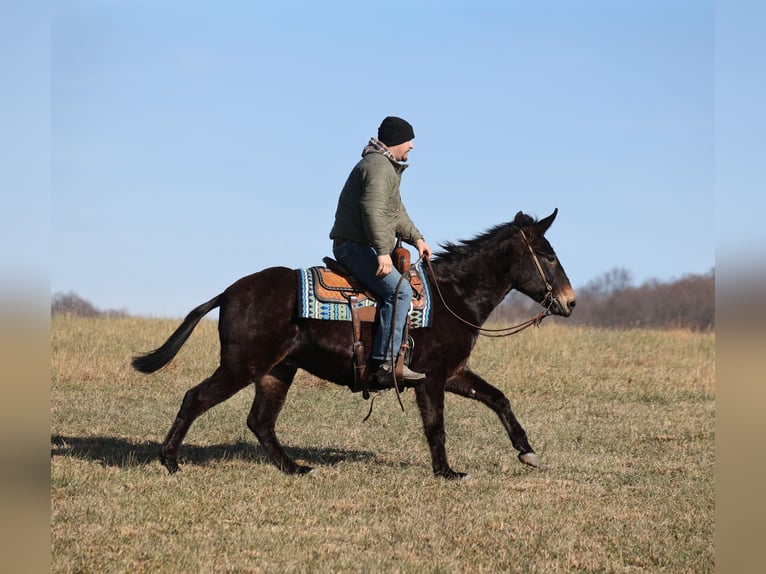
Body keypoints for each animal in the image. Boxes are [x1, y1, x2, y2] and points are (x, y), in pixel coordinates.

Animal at [132, 209, 576, 479]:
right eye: (548, 255)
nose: (570, 302)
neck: (453, 295)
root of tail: (228, 292)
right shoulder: (431, 378)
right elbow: (436, 426)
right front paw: (447, 473)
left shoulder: (454, 373)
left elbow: (498, 398)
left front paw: (526, 451)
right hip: (242, 366)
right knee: (196, 398)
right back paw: (169, 461)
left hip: (277, 371)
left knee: (260, 422)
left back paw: (296, 468)